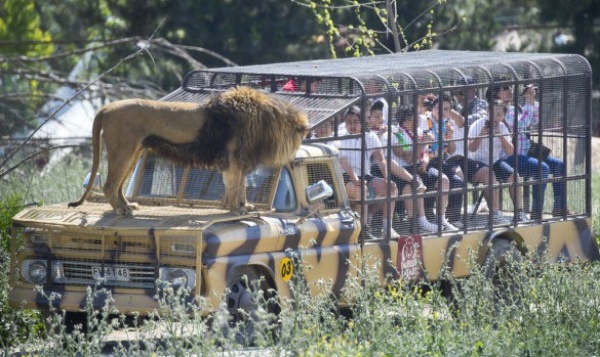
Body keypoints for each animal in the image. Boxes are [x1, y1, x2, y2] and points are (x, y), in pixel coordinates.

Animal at [69, 86, 310, 214]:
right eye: (296, 130)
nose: (305, 130)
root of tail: (107, 108)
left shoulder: (239, 160)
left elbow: (242, 186)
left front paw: (246, 206)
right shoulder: (232, 159)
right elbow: (234, 187)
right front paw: (236, 210)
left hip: (134, 151)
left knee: (118, 186)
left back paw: (129, 206)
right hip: (124, 150)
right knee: (110, 185)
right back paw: (121, 210)